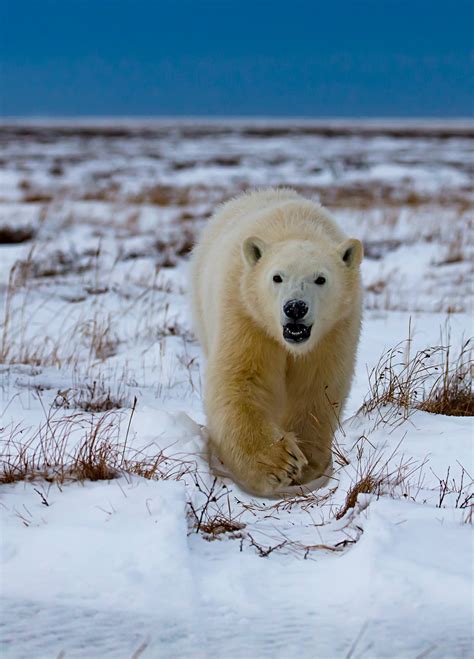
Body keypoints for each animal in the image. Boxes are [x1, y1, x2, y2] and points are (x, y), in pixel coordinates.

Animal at [190, 187, 362, 496]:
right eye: (277, 277)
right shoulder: (246, 314)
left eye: (320, 279)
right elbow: (240, 381)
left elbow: (317, 387)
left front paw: (309, 463)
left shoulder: (334, 331)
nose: (295, 308)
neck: (296, 227)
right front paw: (280, 463)